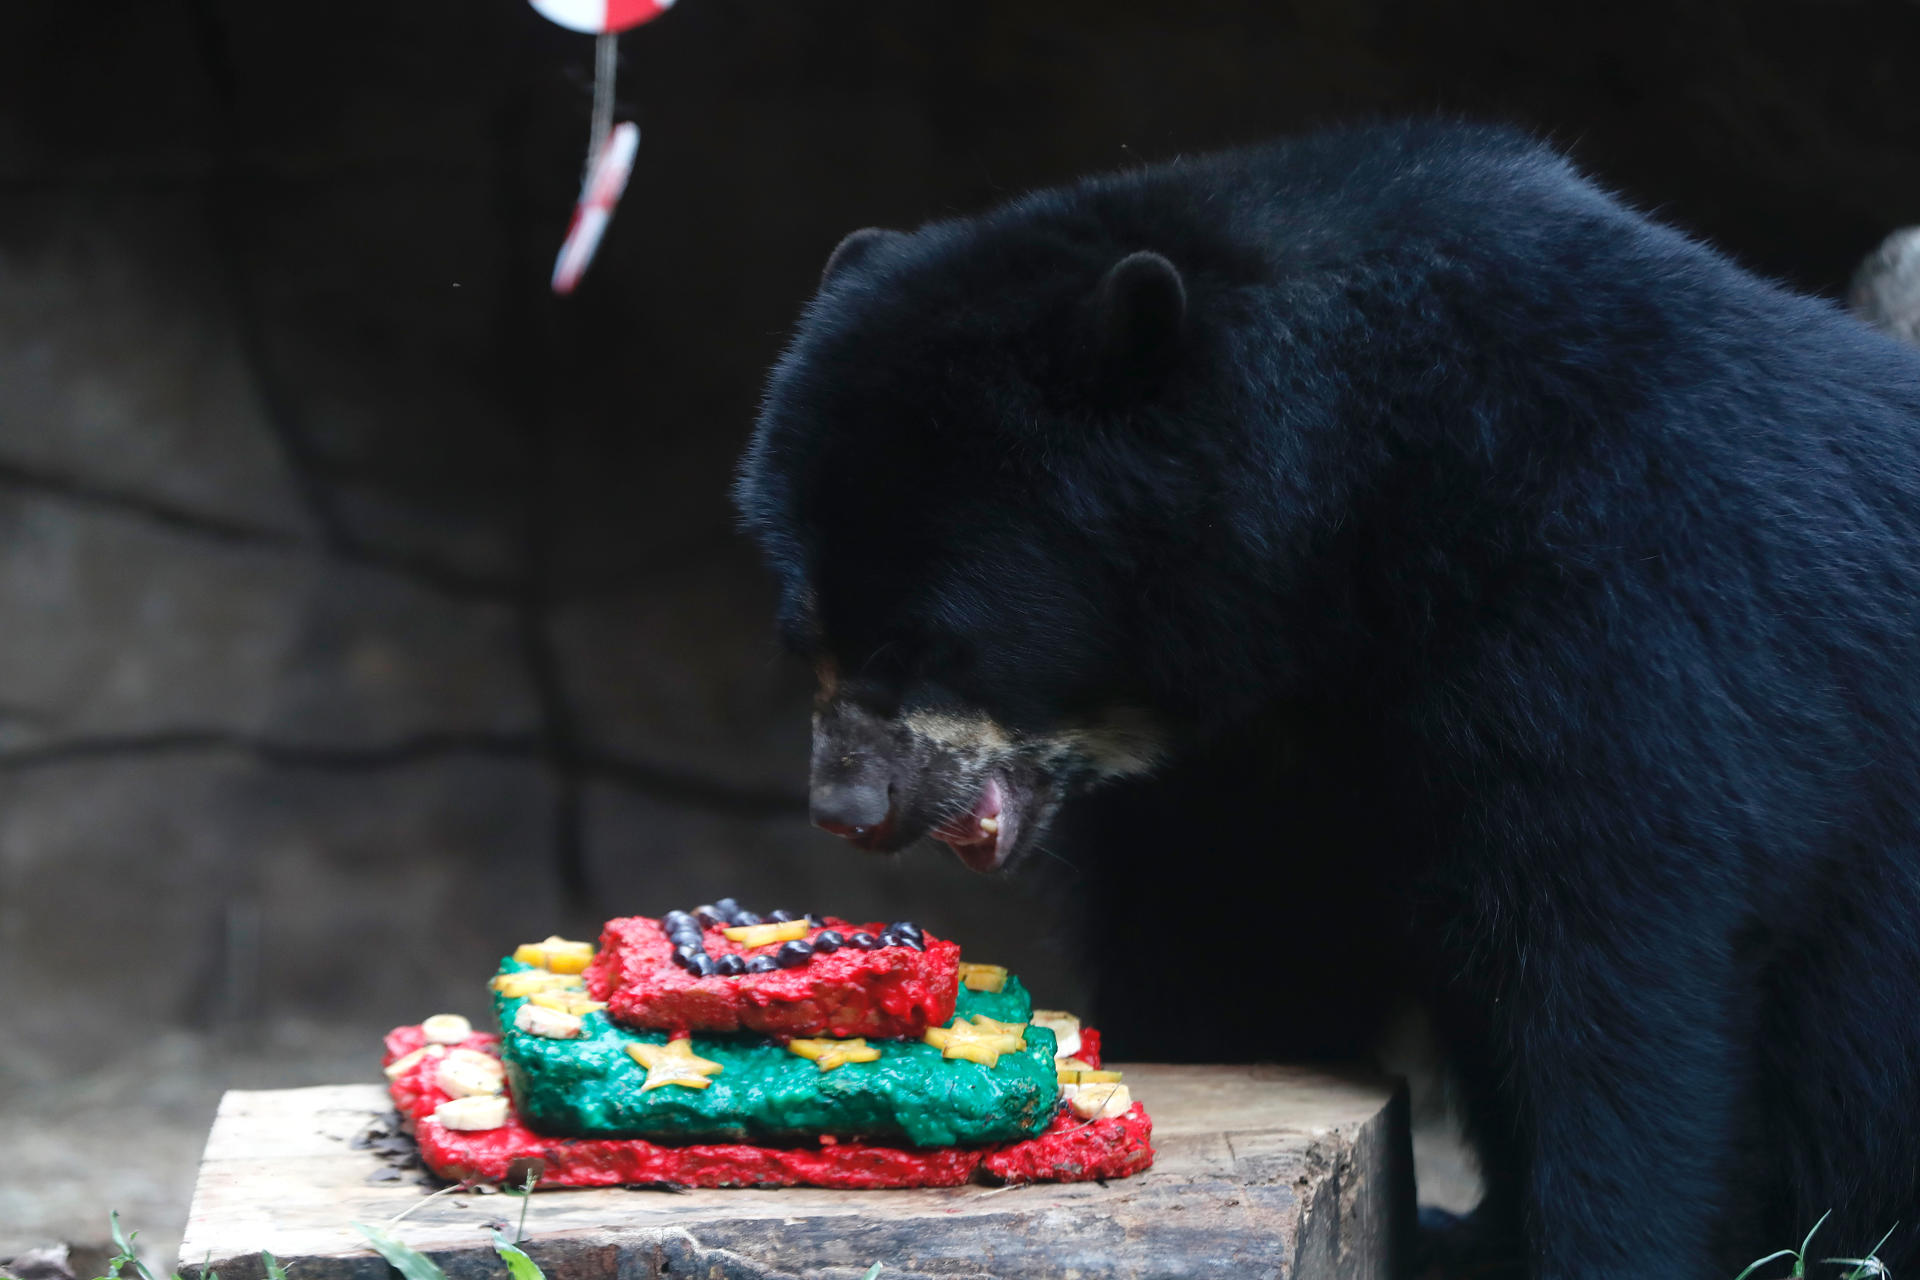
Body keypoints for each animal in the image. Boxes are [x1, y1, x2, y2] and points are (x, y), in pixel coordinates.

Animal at [725, 122, 1920, 1280]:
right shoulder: (1242, 760)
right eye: (809, 635)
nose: (847, 807)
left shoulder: (1618, 602)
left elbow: (1621, 955)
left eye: (928, 641)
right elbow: (1230, 930)